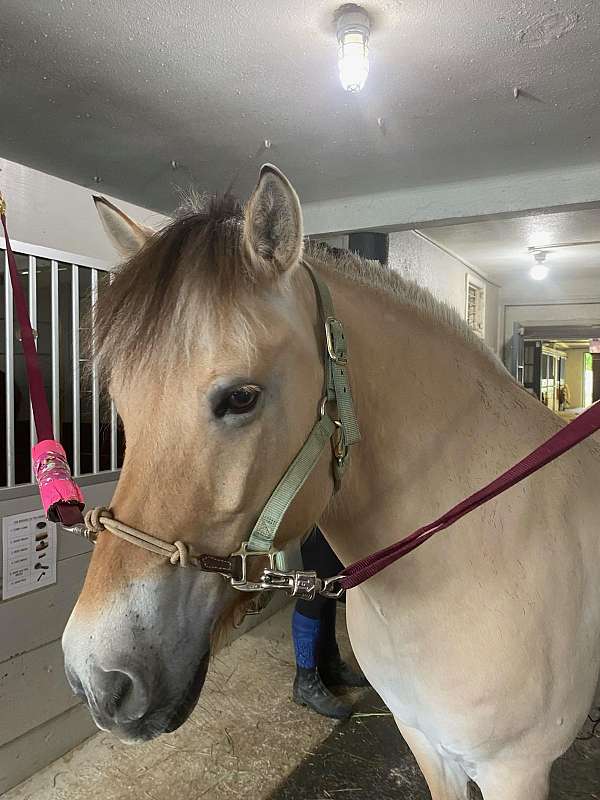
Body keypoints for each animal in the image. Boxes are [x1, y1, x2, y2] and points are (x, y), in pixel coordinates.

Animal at [62, 165, 600, 799]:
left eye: (241, 397)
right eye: (120, 399)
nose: (96, 676)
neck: (469, 553)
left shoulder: (515, 770)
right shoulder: (428, 743)